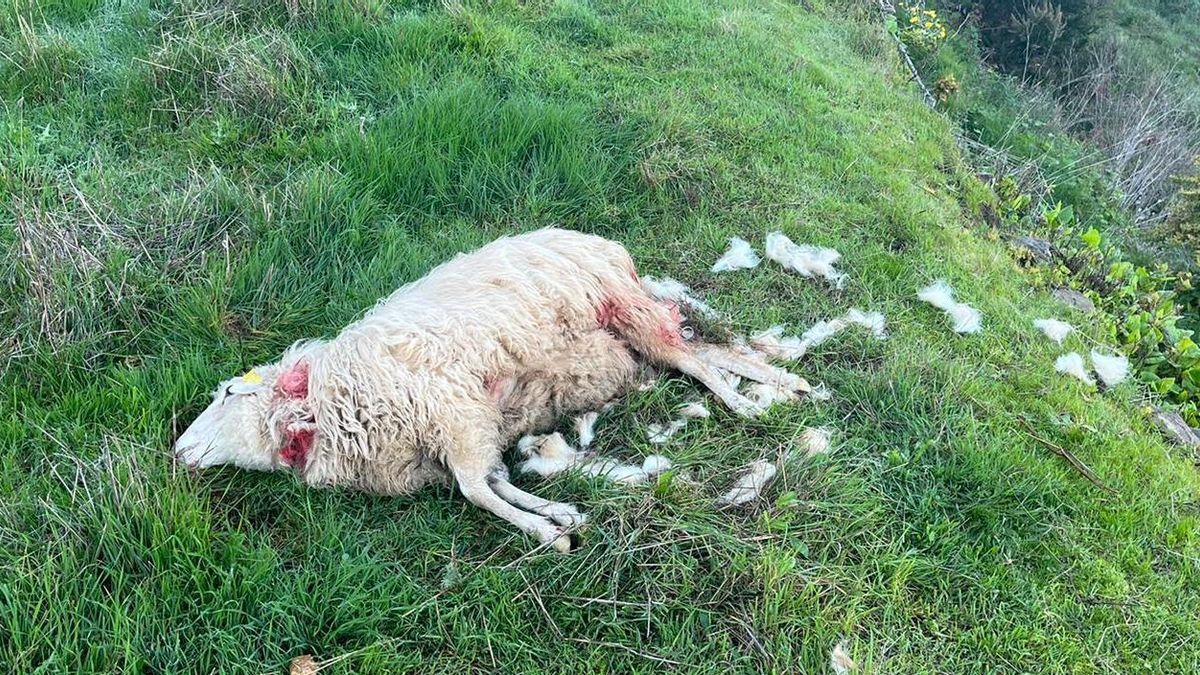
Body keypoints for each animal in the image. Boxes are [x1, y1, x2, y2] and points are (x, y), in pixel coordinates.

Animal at [175, 227, 807, 552]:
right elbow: (493, 480)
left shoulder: (454, 414)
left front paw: (545, 531)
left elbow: (478, 491)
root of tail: (601, 242)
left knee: (697, 364)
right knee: (703, 354)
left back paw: (746, 404)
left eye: (227, 395)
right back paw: (789, 385)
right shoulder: (462, 434)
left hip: (624, 308)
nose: (177, 450)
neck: (327, 408)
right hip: (629, 344)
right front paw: (558, 513)